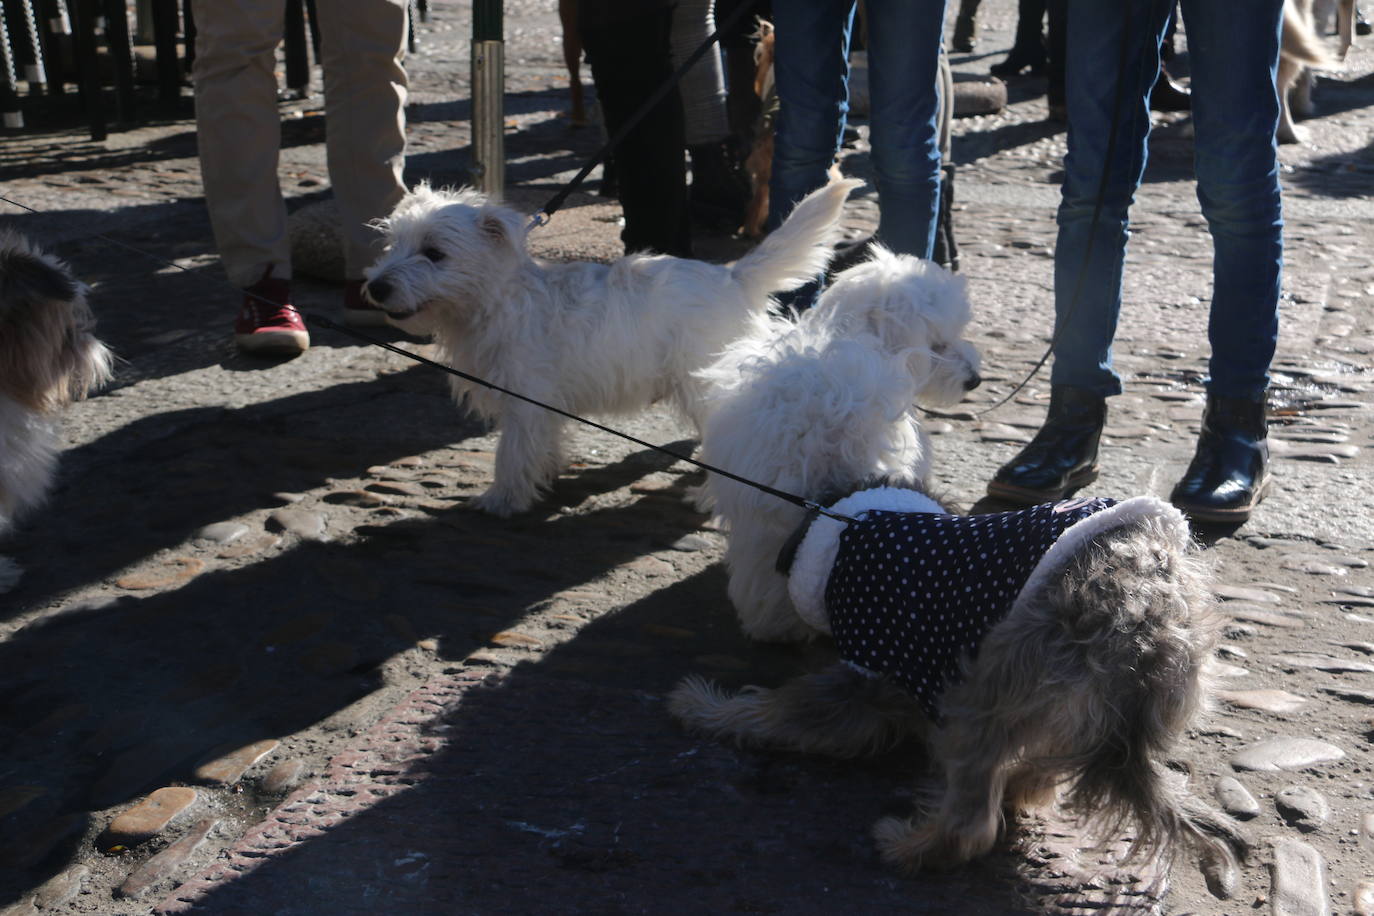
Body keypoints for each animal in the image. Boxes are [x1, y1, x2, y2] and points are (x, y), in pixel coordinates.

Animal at [362, 177, 857, 516]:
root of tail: (734, 277)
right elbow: (541, 445)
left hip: (705, 385)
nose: (375, 288)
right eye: (393, 245)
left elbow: (511, 452)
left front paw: (502, 500)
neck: (497, 300)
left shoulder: (525, 399)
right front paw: (545, 475)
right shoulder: (542, 406)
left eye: (435, 254)